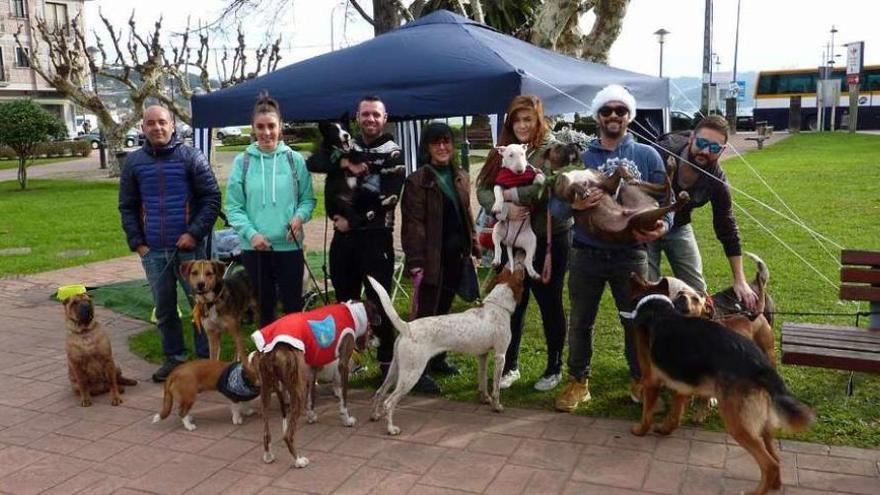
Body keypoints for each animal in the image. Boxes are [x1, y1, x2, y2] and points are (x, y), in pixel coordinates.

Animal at [364, 270, 524, 436]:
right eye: (520, 272)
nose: (522, 264)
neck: (497, 307)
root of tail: (407, 328)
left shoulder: (482, 356)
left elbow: (483, 380)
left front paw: (485, 399)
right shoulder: (500, 355)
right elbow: (496, 388)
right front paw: (496, 406)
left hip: (396, 369)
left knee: (379, 392)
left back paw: (374, 415)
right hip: (411, 374)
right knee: (389, 402)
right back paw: (391, 429)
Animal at [624, 294, 812, 495]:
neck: (661, 311)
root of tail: (762, 367)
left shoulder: (651, 380)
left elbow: (645, 410)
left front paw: (640, 430)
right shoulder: (683, 386)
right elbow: (674, 416)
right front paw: (665, 429)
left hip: (737, 423)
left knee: (769, 464)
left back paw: (755, 492)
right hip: (764, 423)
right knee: (776, 459)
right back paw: (775, 485)